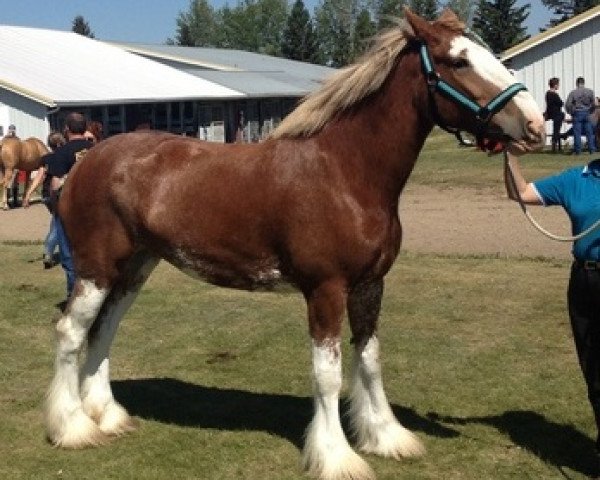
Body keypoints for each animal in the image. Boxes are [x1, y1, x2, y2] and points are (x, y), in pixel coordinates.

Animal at [44, 8, 548, 480]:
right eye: (458, 61)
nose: (535, 124)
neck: (345, 171)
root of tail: (88, 160)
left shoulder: (371, 286)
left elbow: (370, 360)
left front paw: (386, 437)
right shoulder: (326, 290)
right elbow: (327, 375)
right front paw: (336, 456)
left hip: (134, 268)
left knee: (104, 330)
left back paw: (108, 416)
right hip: (96, 269)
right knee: (71, 332)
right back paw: (73, 427)